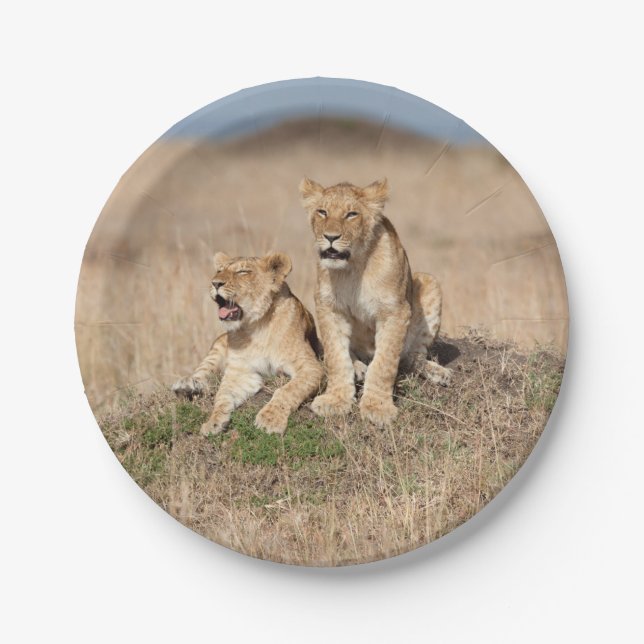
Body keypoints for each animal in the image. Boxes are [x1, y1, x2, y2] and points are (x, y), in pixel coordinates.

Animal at [172, 251, 323, 436]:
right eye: (219, 270)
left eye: (242, 272)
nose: (215, 283)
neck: (256, 326)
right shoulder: (241, 372)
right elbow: (222, 396)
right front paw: (213, 422)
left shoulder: (311, 367)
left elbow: (288, 390)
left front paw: (270, 420)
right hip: (218, 344)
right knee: (203, 371)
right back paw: (186, 385)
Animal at [299, 178, 451, 427]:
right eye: (322, 212)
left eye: (351, 214)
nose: (330, 237)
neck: (352, 267)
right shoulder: (329, 308)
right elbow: (335, 356)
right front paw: (335, 400)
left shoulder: (395, 311)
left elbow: (384, 363)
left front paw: (377, 408)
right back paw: (358, 367)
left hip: (430, 282)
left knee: (412, 357)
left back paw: (438, 373)